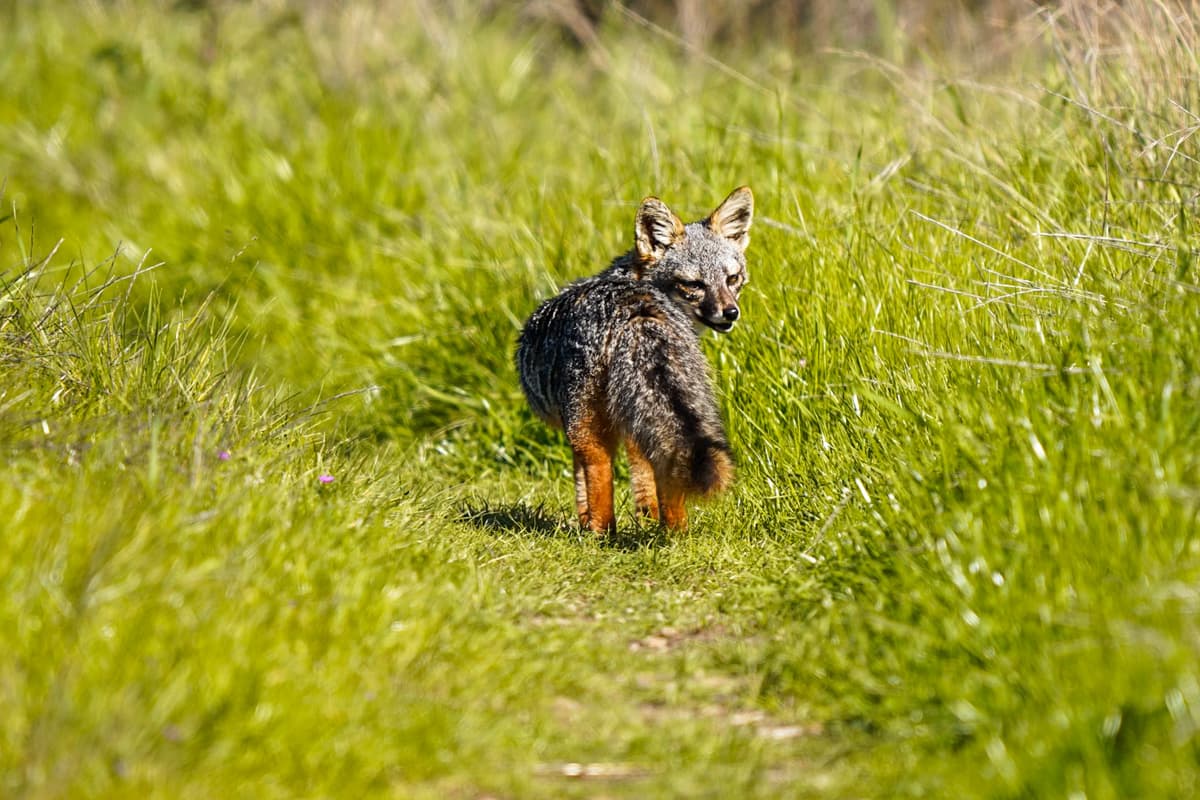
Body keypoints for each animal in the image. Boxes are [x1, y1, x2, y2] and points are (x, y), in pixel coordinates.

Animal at [516, 186, 754, 535]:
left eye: (732, 279)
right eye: (694, 284)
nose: (730, 313)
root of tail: (634, 307)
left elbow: (581, 481)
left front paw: (586, 520)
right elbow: (643, 476)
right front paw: (648, 517)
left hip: (585, 423)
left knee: (599, 468)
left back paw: (600, 532)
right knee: (664, 463)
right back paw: (675, 531)